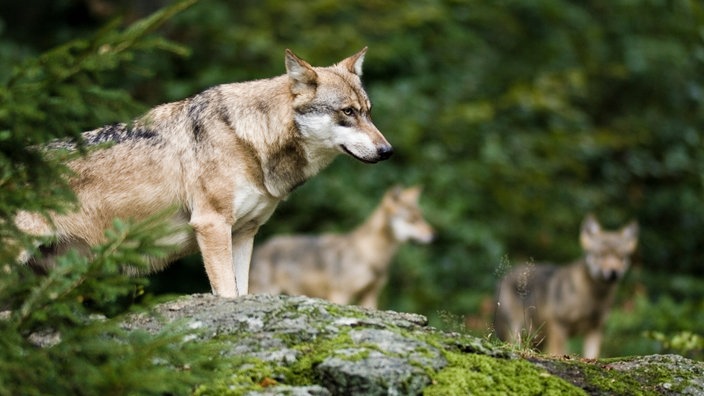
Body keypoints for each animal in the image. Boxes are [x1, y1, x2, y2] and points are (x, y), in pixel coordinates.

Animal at [15, 47, 390, 296]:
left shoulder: (244, 234)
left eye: (369, 112)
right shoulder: (212, 226)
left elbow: (241, 293)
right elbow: (226, 294)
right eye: (348, 112)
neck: (247, 139)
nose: (388, 151)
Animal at [248, 186, 434, 310]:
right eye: (412, 220)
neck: (370, 255)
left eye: (421, 217)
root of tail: (260, 249)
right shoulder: (339, 294)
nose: (434, 235)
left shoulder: (370, 295)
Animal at [496, 215, 640, 358]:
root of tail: (506, 276)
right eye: (601, 255)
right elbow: (559, 352)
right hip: (517, 330)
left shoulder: (595, 330)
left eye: (621, 257)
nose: (613, 273)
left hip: (537, 337)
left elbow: (592, 355)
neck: (593, 297)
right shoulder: (559, 327)